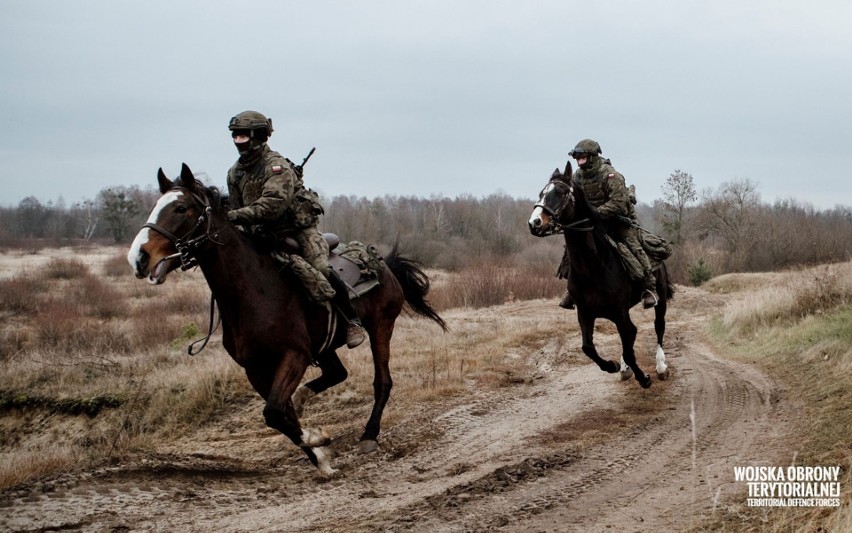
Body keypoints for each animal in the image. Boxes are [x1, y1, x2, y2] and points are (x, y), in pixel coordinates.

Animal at [128, 164, 446, 472]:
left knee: (382, 382)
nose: (138, 258)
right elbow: (281, 414)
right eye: (155, 205)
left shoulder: (293, 355)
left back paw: (369, 435)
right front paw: (320, 457)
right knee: (336, 374)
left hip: (380, 327)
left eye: (181, 208)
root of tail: (385, 264)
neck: (254, 291)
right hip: (325, 347)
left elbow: (274, 412)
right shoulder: (256, 368)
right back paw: (305, 398)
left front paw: (317, 439)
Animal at [524, 161, 672, 386]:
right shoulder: (585, 313)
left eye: (561, 192)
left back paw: (661, 366)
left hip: (660, 299)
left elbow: (629, 344)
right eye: (542, 192)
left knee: (659, 327)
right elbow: (588, 348)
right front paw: (613, 366)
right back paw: (625, 369)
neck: (593, 268)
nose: (535, 223)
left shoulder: (619, 313)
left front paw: (644, 378)